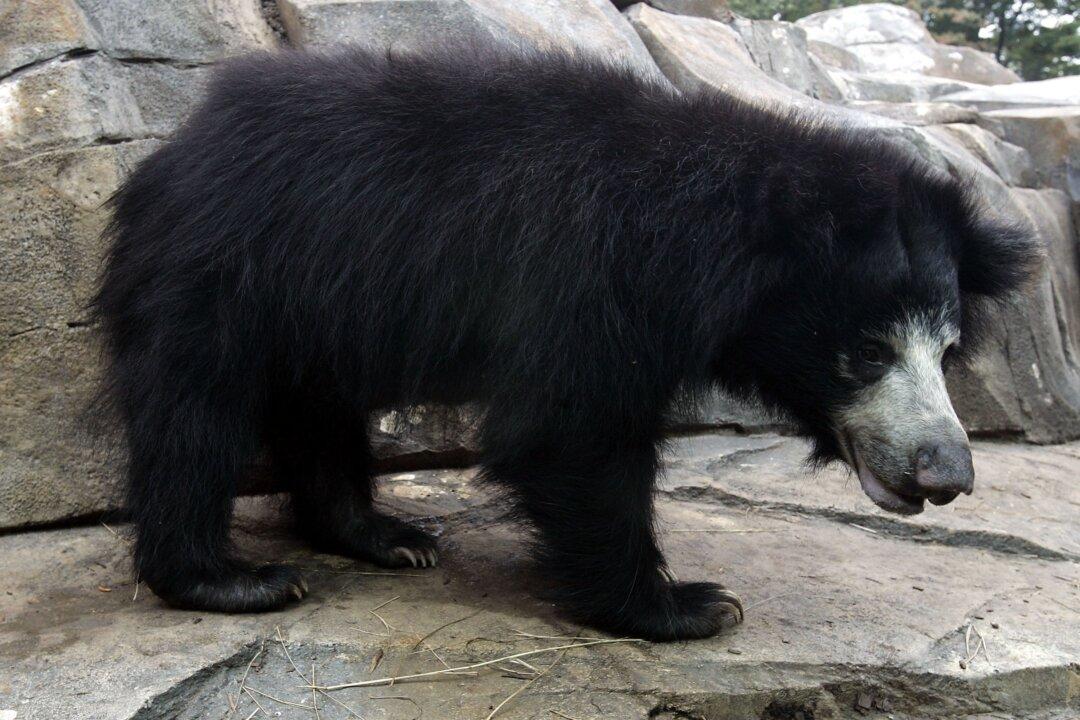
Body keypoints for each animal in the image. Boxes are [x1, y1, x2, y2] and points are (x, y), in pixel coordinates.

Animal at [92, 44, 1040, 641]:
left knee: (319, 411)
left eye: (946, 352)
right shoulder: (588, 273)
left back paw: (386, 536)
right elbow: (571, 429)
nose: (947, 474)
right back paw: (231, 579)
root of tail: (177, 150)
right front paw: (688, 606)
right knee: (193, 415)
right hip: (222, 269)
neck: (713, 245)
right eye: (868, 351)